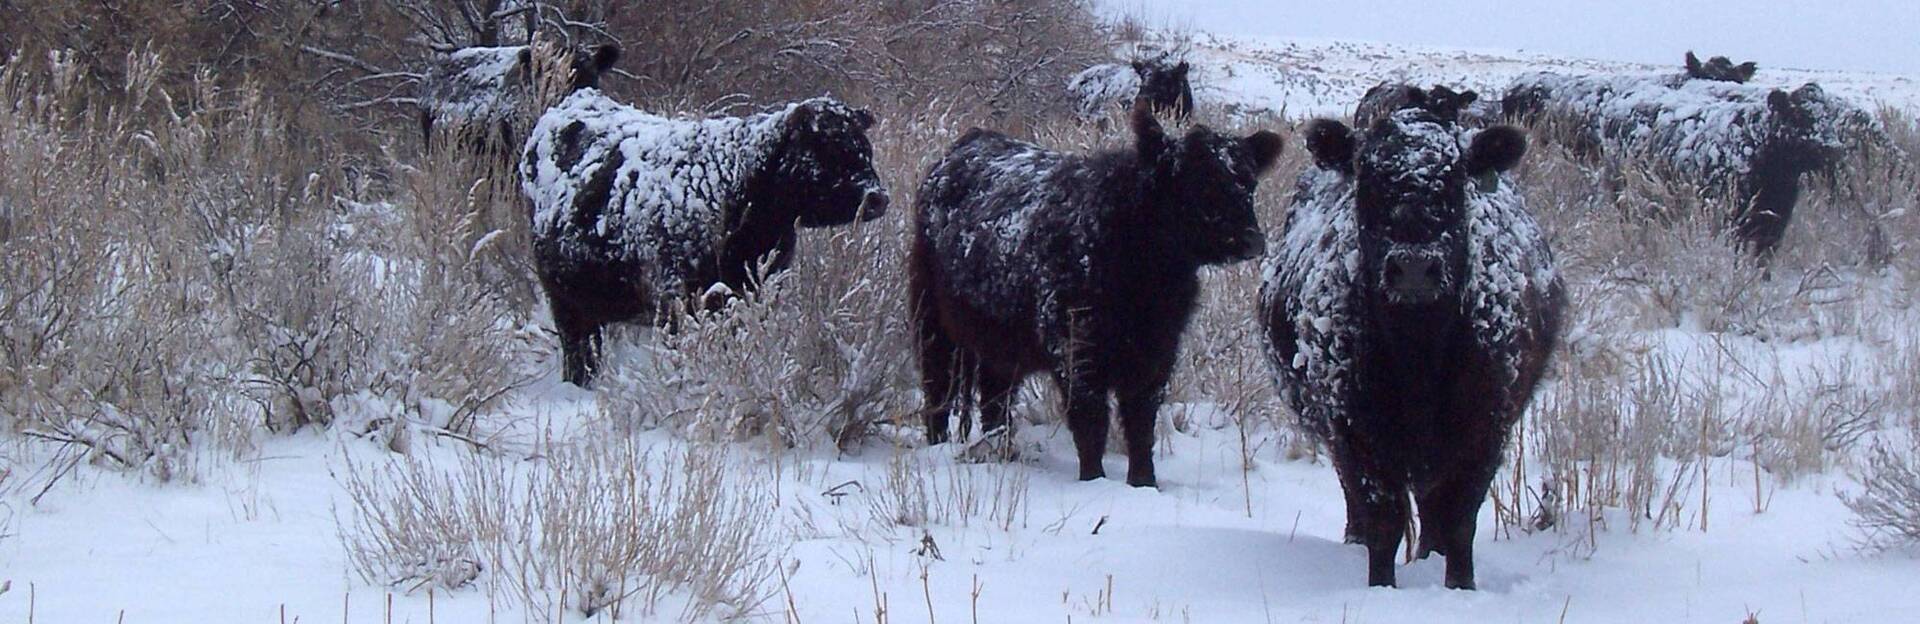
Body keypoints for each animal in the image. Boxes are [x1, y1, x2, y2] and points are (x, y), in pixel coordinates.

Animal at [521, 76, 889, 387]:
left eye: (865, 150)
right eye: (828, 149)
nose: (877, 197)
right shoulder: (676, 299)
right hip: (565, 299)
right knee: (579, 349)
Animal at [911, 102, 1283, 487]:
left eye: (1249, 181)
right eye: (1199, 181)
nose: (1252, 239)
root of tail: (967, 144)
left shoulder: (1156, 354)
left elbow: (1140, 424)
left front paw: (1144, 483)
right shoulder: (1076, 350)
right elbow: (1091, 422)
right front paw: (1094, 479)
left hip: (998, 340)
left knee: (995, 398)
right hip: (932, 319)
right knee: (938, 387)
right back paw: (939, 447)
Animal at [1261, 109, 1564, 589]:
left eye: (1454, 180)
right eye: (1368, 178)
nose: (1415, 267)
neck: (1417, 351)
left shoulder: (1484, 431)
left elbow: (1457, 519)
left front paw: (1460, 587)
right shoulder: (1356, 431)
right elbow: (1384, 518)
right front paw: (1381, 586)